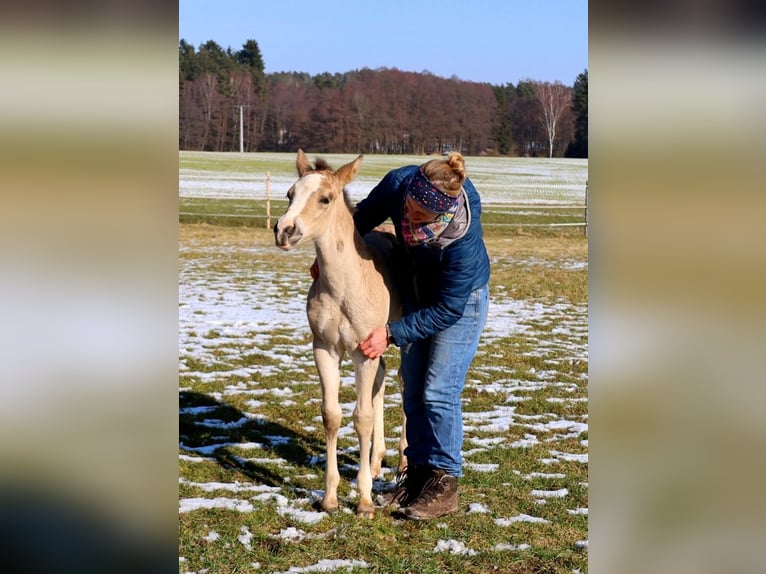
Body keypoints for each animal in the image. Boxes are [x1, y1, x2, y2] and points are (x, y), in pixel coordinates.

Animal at [274, 149, 406, 517]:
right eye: (289, 194)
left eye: (325, 198)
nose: (284, 230)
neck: (344, 287)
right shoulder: (325, 348)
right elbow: (332, 416)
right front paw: (330, 497)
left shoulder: (362, 352)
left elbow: (361, 418)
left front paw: (363, 501)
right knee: (382, 381)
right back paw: (375, 462)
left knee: (405, 382)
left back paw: (402, 463)